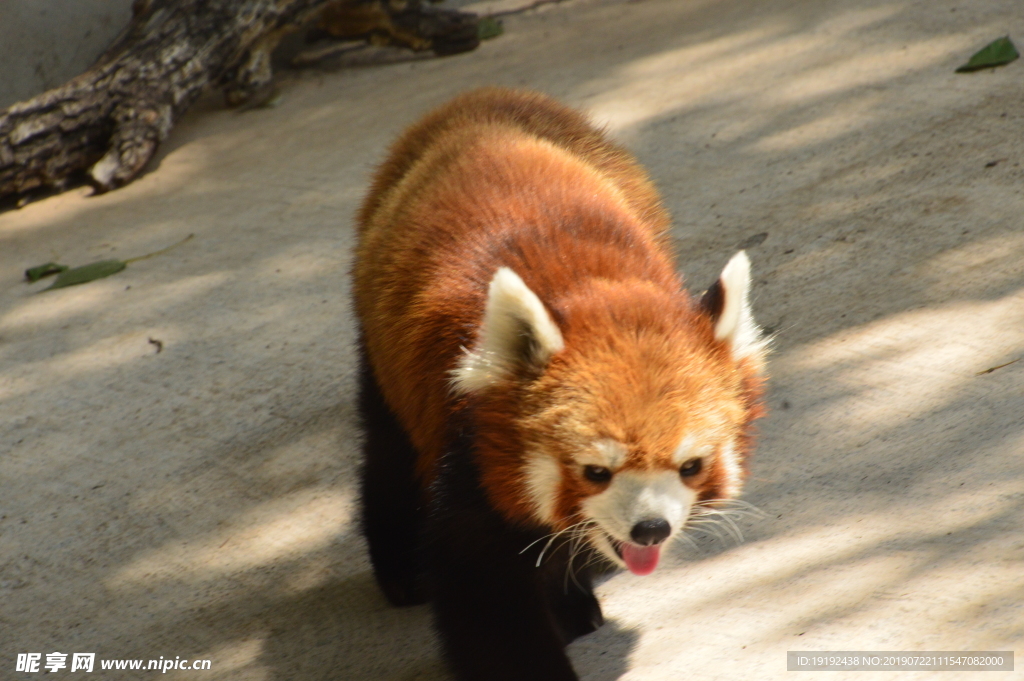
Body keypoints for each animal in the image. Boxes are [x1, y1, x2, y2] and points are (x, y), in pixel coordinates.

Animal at [356, 87, 765, 679]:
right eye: (595, 472)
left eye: (690, 466)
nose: (650, 530)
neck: (590, 293)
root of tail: (479, 99)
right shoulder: (468, 437)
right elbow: (484, 587)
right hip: (380, 347)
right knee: (387, 446)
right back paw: (401, 569)